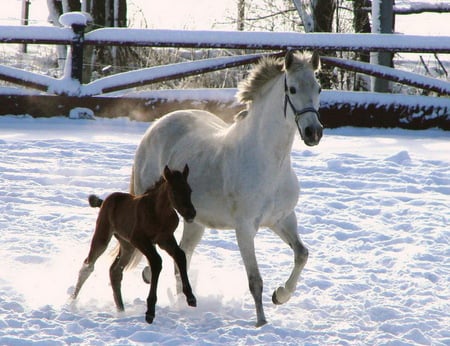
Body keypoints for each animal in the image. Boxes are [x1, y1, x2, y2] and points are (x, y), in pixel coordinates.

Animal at [131, 51, 324, 328]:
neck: (268, 162)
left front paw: (280, 295)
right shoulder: (245, 229)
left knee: (182, 258)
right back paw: (152, 279)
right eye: (293, 89)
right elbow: (255, 280)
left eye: (319, 88)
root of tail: (156, 126)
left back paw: (183, 303)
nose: (313, 132)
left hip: (195, 223)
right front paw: (261, 322)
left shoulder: (283, 219)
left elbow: (302, 254)